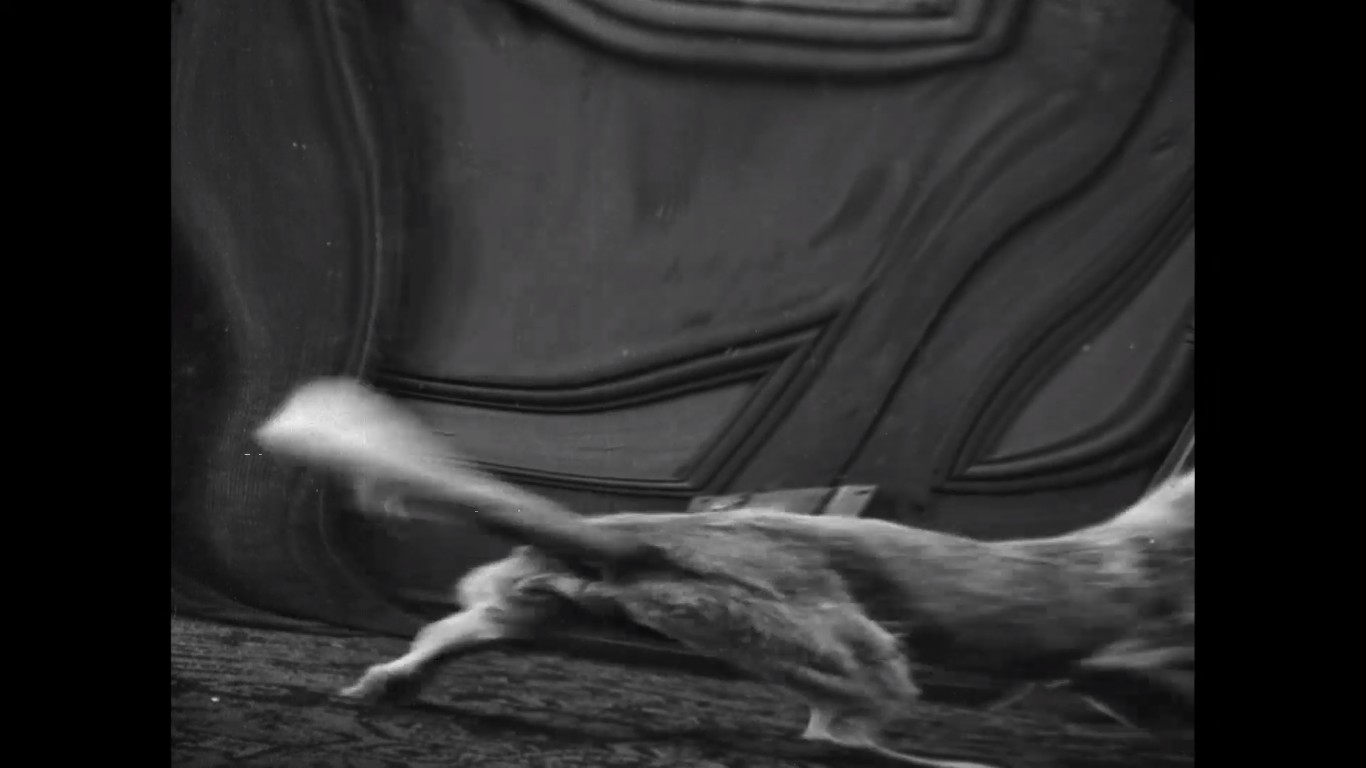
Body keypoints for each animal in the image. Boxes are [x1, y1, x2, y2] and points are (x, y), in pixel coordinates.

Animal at [255, 378, 1194, 768]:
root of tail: (634, 541)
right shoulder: (1136, 657)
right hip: (856, 647)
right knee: (836, 736)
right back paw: (944, 765)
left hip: (536, 608)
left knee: (446, 634)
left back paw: (388, 684)